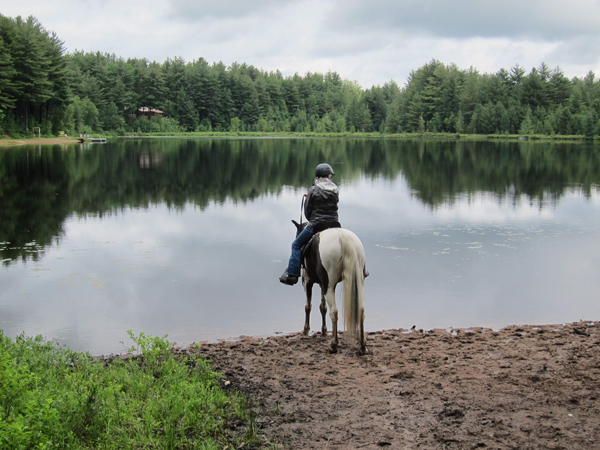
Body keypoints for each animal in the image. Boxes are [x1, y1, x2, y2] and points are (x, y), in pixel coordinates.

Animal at [292, 221, 368, 356]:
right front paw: (323, 330)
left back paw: (333, 345)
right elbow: (323, 307)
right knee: (361, 310)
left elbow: (308, 306)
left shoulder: (307, 281)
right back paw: (362, 347)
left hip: (329, 284)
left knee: (334, 312)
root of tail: (343, 238)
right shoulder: (322, 284)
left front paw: (306, 330)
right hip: (358, 281)